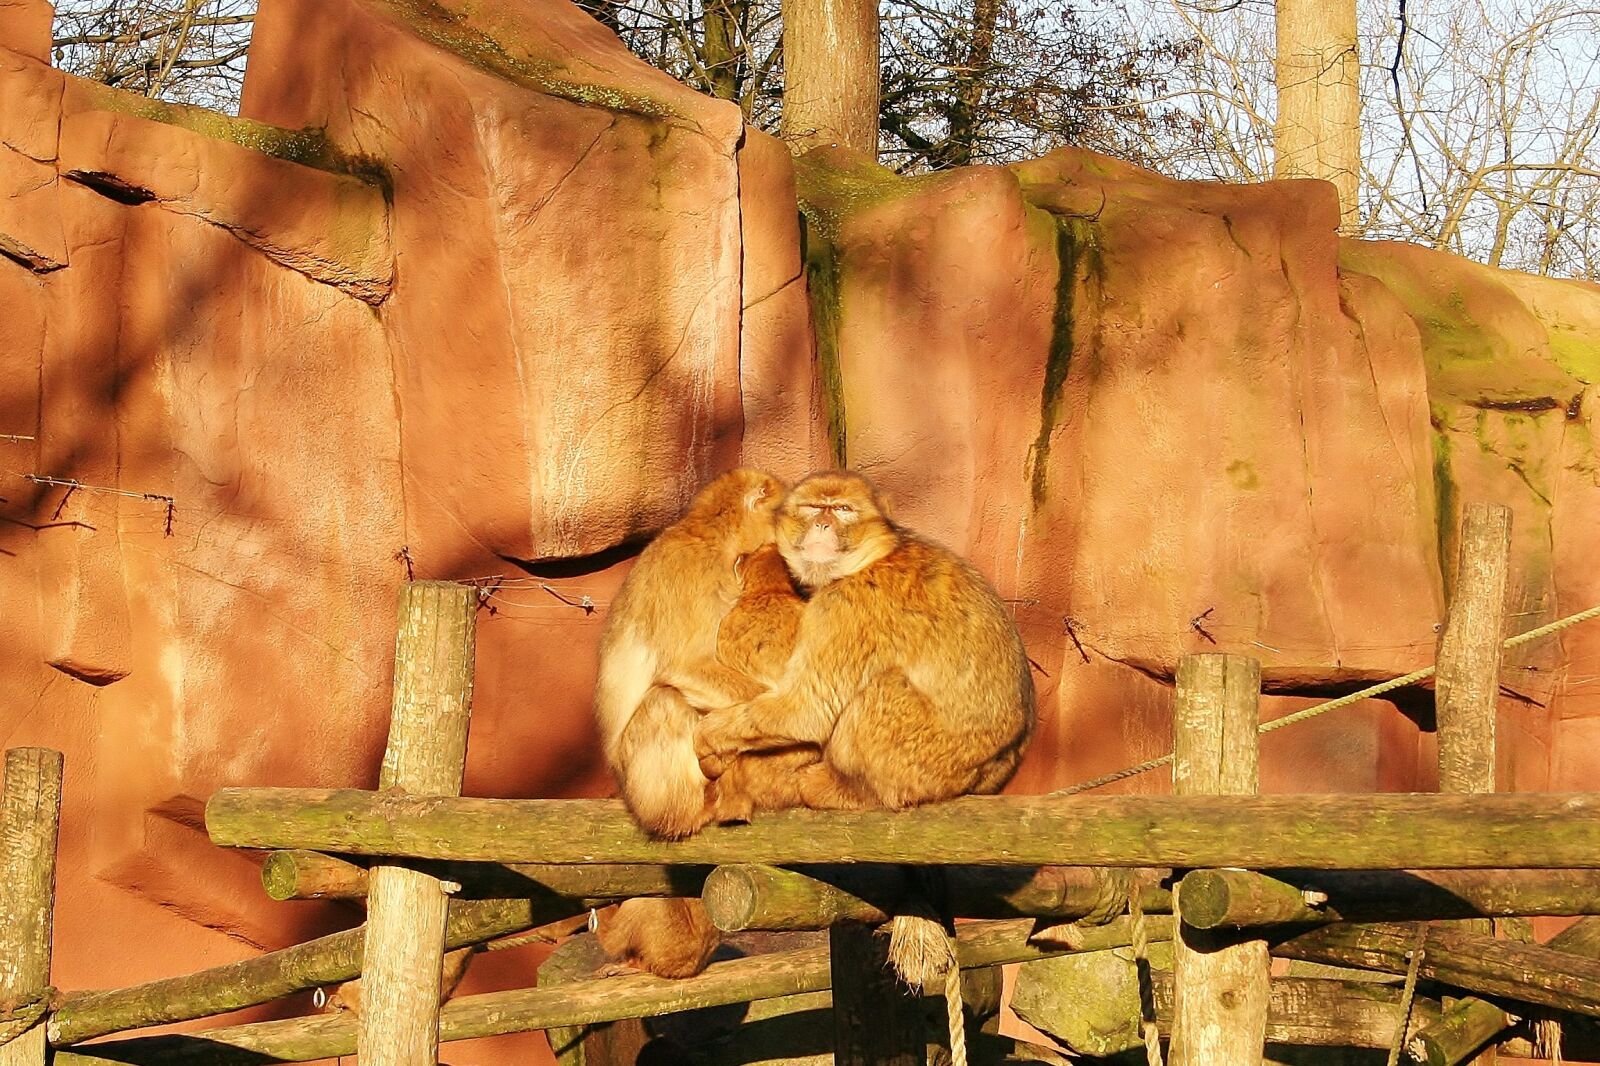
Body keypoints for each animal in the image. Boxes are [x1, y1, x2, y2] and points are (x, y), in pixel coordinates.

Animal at [694, 469, 1035, 811]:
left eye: (843, 509)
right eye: (814, 507)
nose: (823, 524)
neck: (872, 558)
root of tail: (990, 773)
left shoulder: (845, 605)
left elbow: (805, 711)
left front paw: (706, 737)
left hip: (924, 762)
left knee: (880, 688)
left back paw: (849, 791)